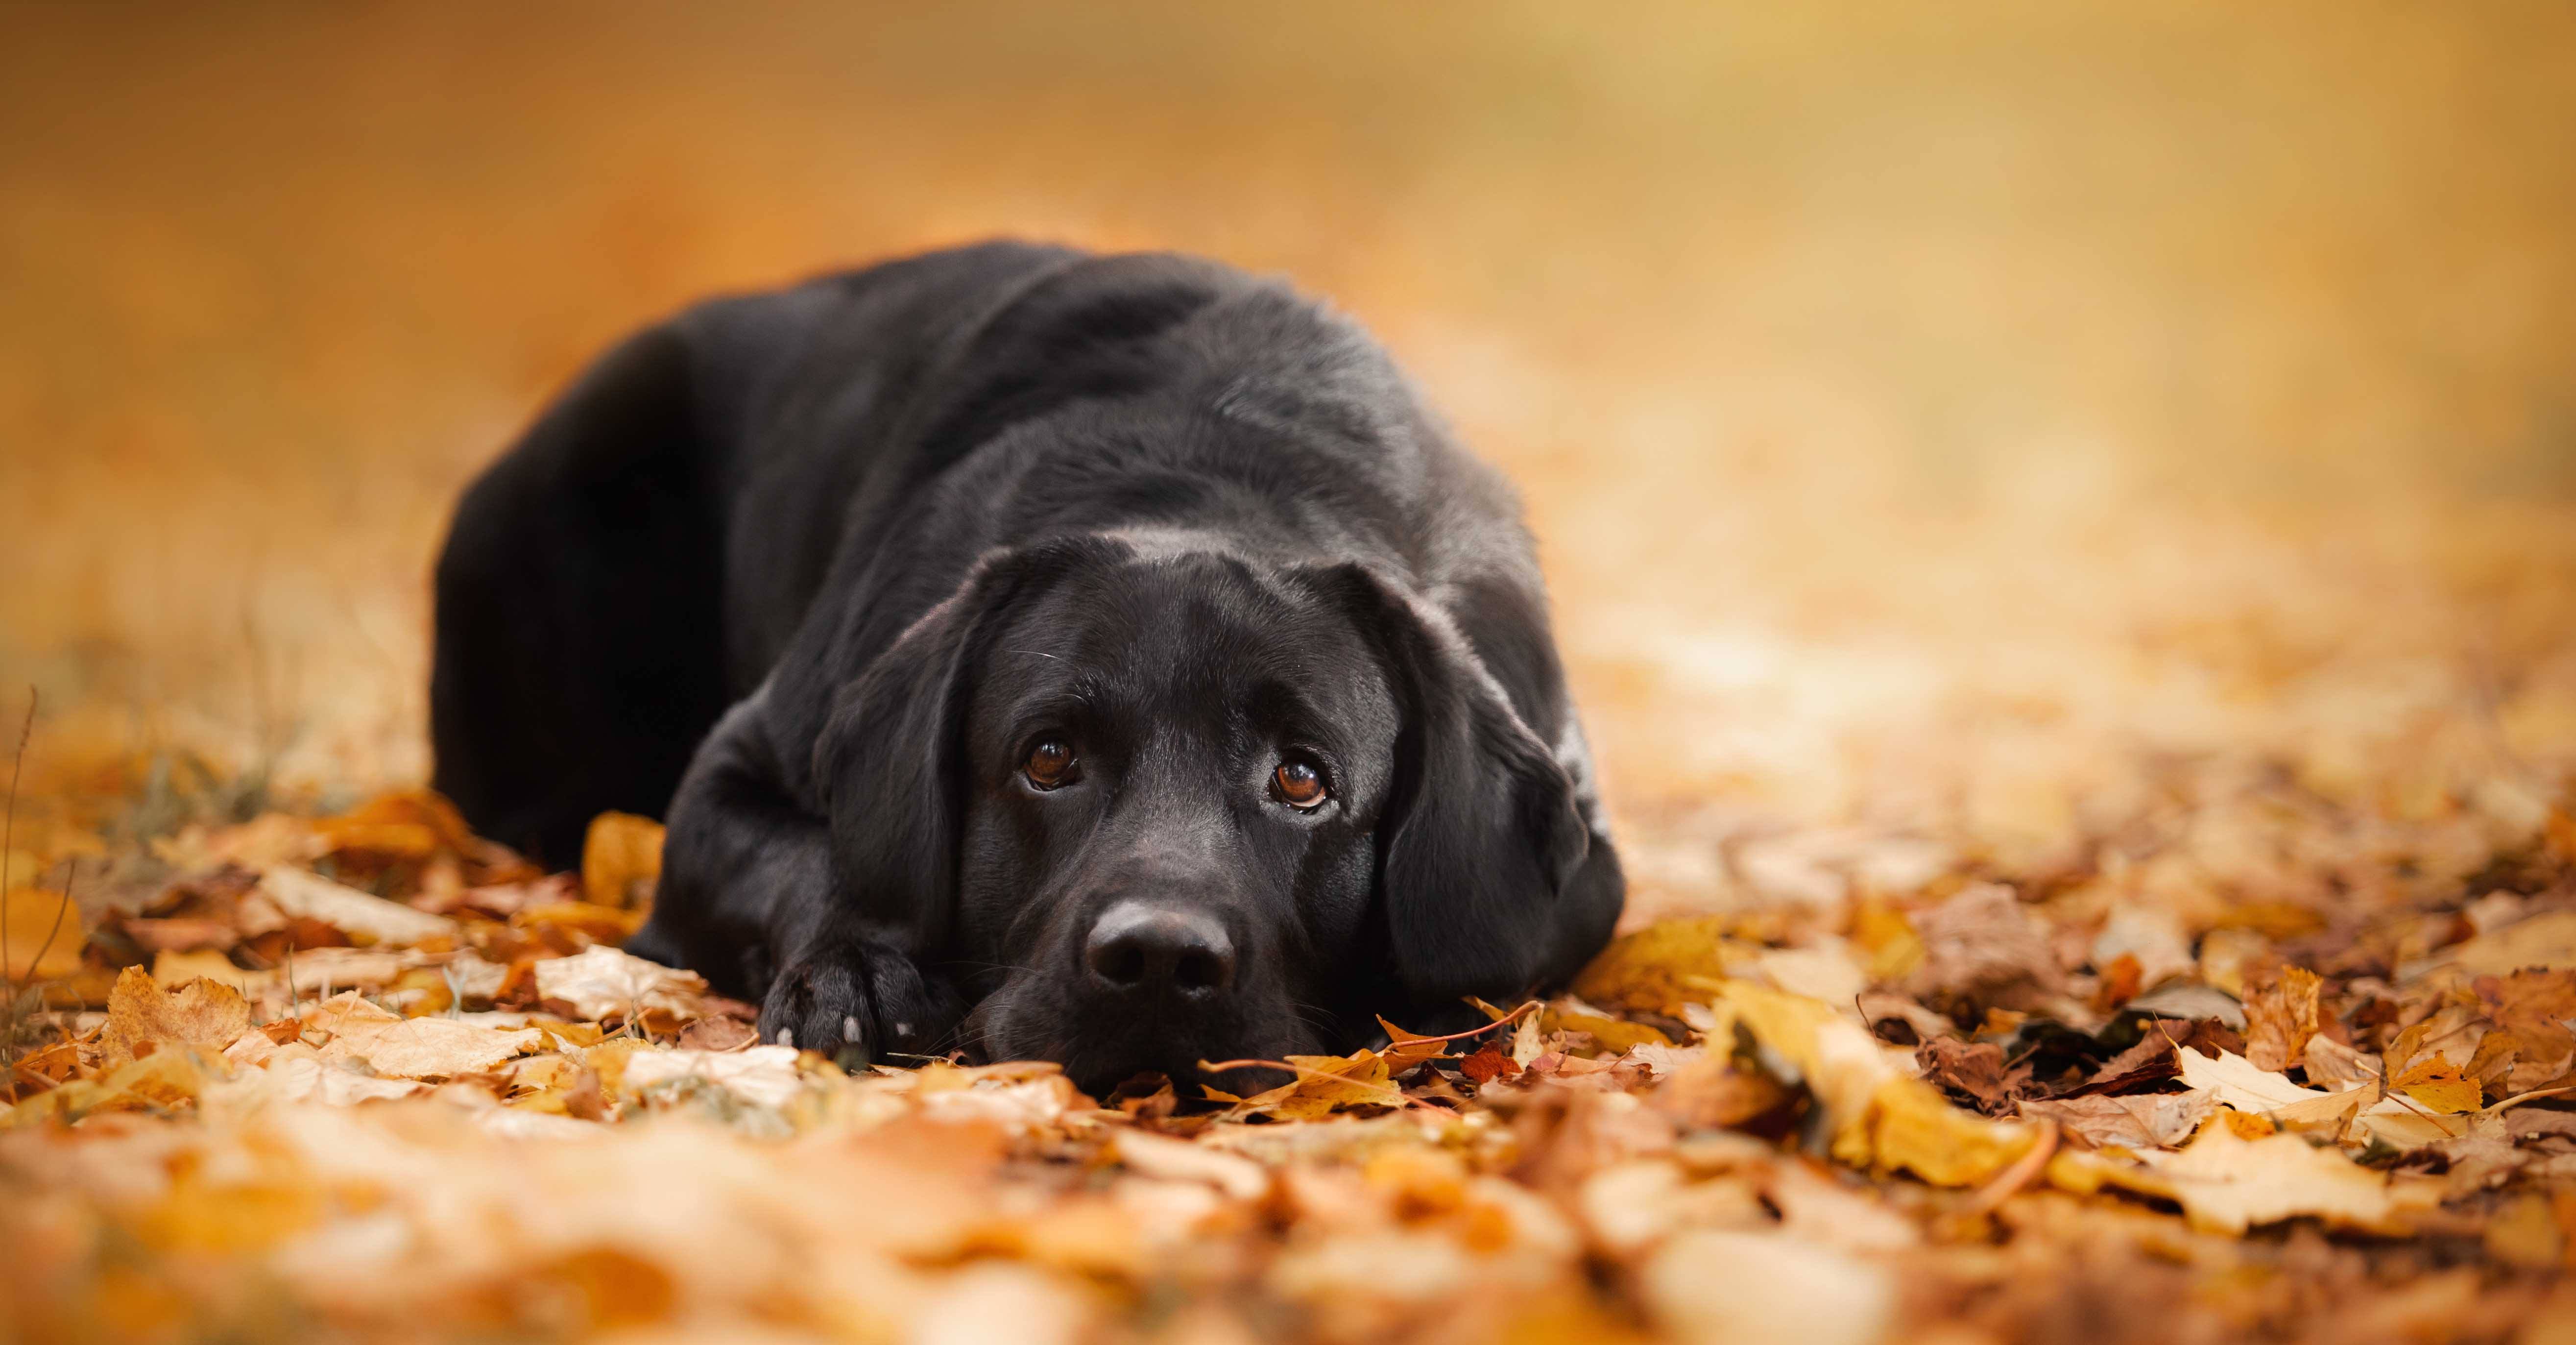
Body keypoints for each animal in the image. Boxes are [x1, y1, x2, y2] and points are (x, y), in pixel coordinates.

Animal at [430, 243, 1617, 1087]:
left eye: (1302, 777)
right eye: (1047, 758)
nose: (1158, 961)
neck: (1219, 479)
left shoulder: (1583, 864)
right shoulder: (735, 771)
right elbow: (813, 859)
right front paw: (855, 973)